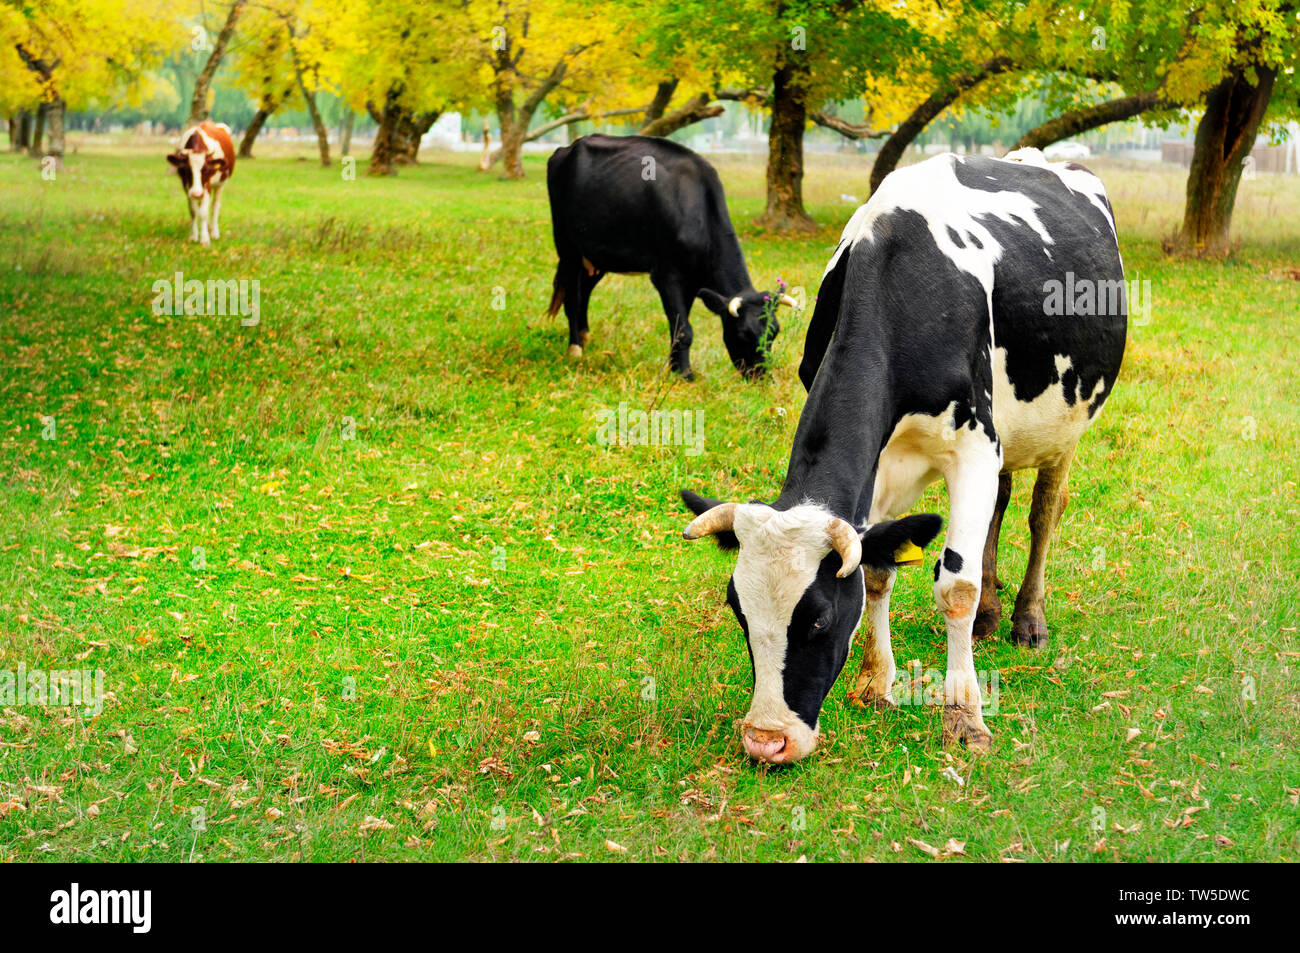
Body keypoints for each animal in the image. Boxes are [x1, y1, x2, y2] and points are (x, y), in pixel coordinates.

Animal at [546, 134, 795, 379]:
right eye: (744, 334)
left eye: (774, 332)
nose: (761, 376)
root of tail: (568, 147)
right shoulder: (666, 276)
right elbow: (684, 329)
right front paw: (684, 374)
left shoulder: (693, 282)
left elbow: (679, 326)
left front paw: (674, 368)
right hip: (567, 246)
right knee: (572, 296)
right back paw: (575, 348)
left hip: (599, 255)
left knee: (585, 290)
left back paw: (585, 336)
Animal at [681, 146, 1128, 759]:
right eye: (739, 613)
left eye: (818, 620)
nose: (766, 741)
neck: (902, 278)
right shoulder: (884, 464)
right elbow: (877, 567)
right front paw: (875, 682)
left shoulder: (974, 446)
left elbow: (956, 586)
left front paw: (965, 715)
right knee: (1001, 504)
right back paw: (991, 614)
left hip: (1066, 425)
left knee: (1043, 513)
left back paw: (1026, 620)